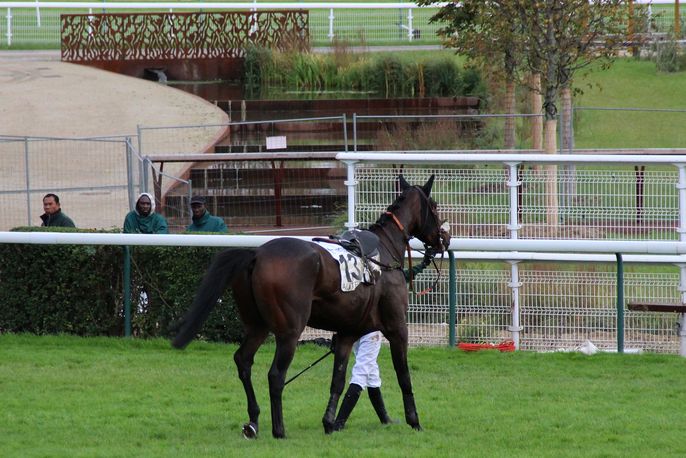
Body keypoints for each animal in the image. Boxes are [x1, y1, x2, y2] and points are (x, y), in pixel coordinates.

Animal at [172, 174, 452, 436]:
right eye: (435, 206)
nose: (443, 239)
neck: (383, 255)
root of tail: (257, 254)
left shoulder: (347, 333)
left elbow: (338, 379)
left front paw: (330, 423)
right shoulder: (397, 328)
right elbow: (404, 376)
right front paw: (414, 421)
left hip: (257, 326)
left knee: (243, 361)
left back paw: (253, 421)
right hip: (289, 331)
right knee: (275, 375)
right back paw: (279, 430)